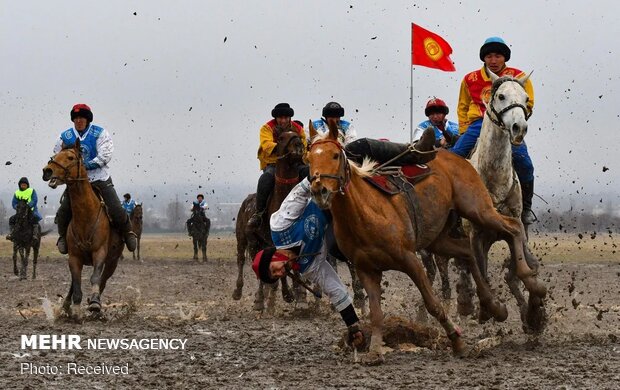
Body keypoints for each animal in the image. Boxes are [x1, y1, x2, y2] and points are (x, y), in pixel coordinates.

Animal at [42, 140, 123, 320]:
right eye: (55, 155)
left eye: (70, 157)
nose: (47, 171)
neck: (86, 216)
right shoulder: (74, 257)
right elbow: (76, 284)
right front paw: (76, 310)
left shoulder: (99, 253)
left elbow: (95, 278)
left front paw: (94, 303)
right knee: (74, 283)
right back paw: (67, 305)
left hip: (112, 262)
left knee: (103, 280)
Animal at [308, 121, 544, 362]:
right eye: (308, 158)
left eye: (336, 155)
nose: (319, 190)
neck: (366, 212)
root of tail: (456, 157)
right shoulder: (366, 269)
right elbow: (376, 313)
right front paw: (374, 351)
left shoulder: (410, 260)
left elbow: (433, 304)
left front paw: (458, 342)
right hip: (438, 239)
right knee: (468, 250)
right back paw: (494, 305)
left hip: (478, 209)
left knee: (513, 228)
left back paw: (531, 283)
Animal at [470, 69, 548, 332]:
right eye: (501, 96)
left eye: (526, 99)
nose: (519, 127)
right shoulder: (475, 233)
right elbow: (480, 273)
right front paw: (492, 309)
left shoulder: (515, 224)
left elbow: (524, 268)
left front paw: (535, 306)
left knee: (516, 271)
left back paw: (532, 313)